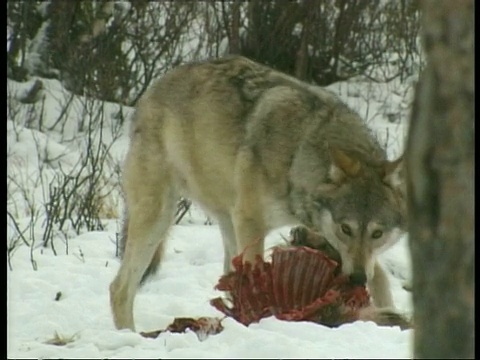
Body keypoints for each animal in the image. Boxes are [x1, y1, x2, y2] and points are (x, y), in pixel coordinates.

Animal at [110, 55, 406, 330]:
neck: (297, 155)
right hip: (160, 218)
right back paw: (131, 335)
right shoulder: (252, 222)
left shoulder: (322, 232)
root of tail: (151, 90)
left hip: (225, 222)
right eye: (346, 228)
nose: (357, 279)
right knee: (119, 289)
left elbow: (380, 276)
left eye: (377, 234)